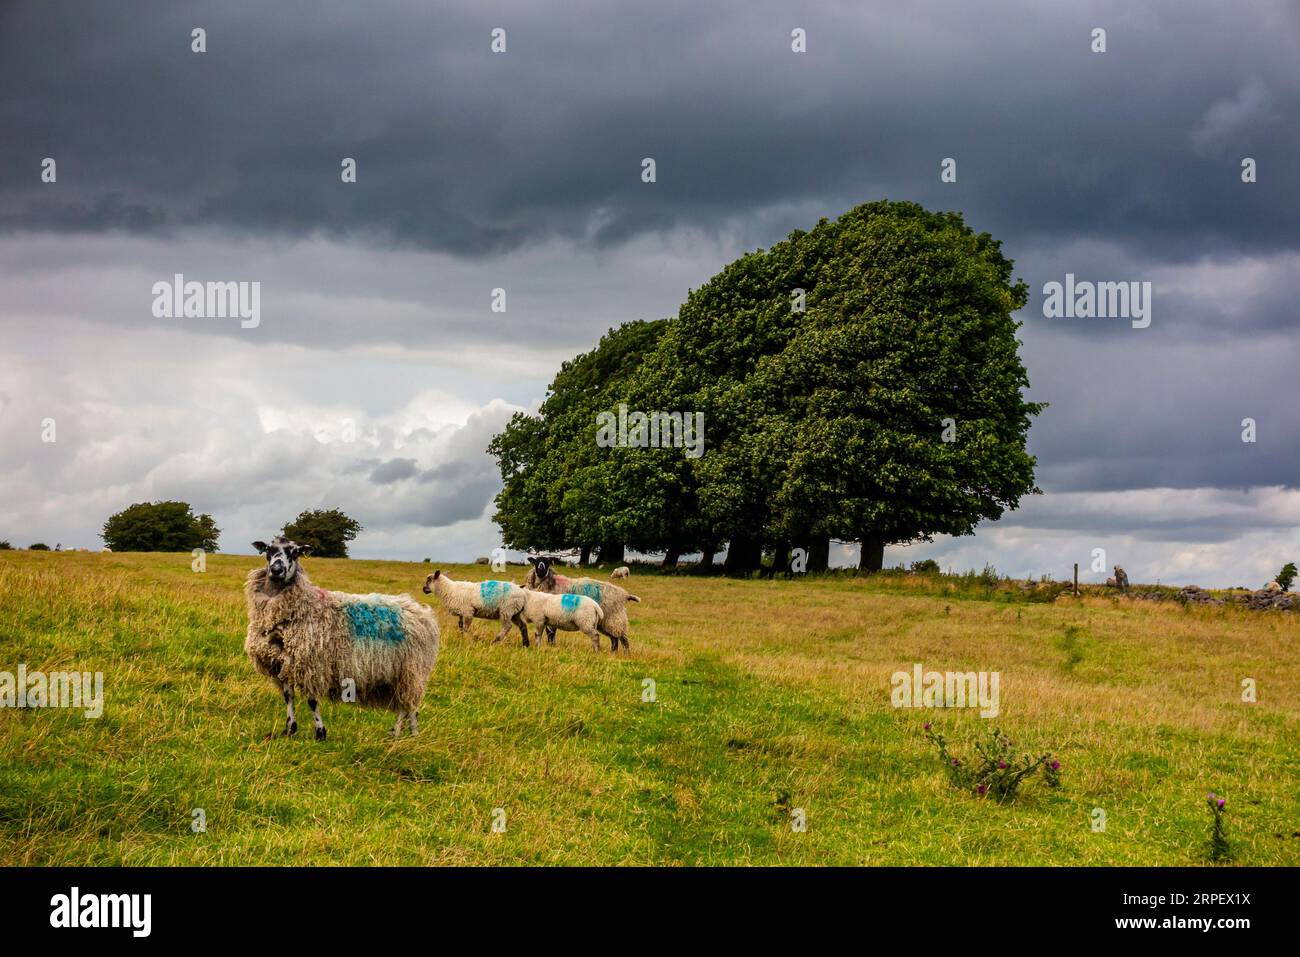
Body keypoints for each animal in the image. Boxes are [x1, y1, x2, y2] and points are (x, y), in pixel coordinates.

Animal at [244, 538, 441, 738]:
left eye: (295, 552)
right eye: (269, 549)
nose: (277, 570)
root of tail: (423, 612)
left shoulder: (312, 665)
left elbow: (312, 701)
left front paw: (320, 733)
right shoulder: (282, 663)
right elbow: (288, 697)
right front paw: (290, 730)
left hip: (413, 669)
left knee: (409, 705)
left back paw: (408, 734)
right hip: (399, 673)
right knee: (405, 704)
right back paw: (399, 734)